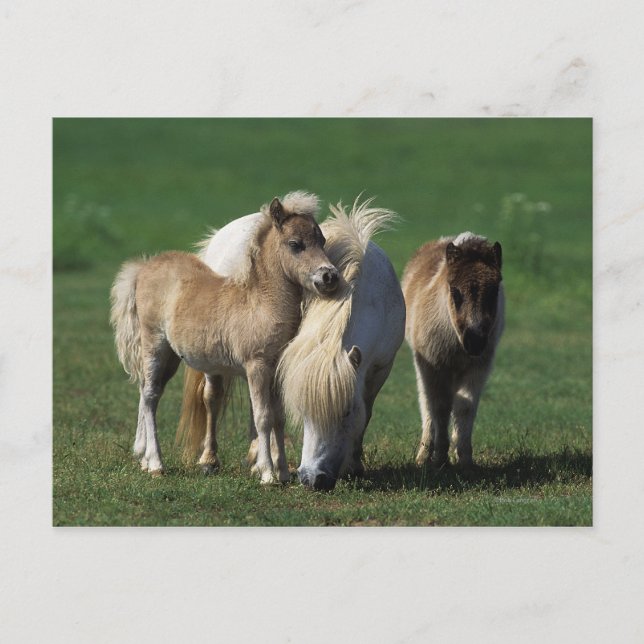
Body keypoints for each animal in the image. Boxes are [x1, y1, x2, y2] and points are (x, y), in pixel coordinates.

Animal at [109, 194, 339, 484]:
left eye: (322, 240)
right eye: (295, 244)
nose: (329, 276)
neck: (261, 304)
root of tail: (144, 268)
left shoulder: (276, 369)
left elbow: (278, 417)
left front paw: (284, 473)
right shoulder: (257, 366)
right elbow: (263, 417)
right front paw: (267, 474)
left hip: (172, 357)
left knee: (148, 391)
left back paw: (144, 459)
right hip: (154, 345)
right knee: (150, 396)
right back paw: (155, 464)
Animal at [178, 196, 405, 490]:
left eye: (346, 413)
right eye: (305, 412)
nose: (313, 478)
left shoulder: (380, 368)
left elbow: (364, 414)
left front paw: (353, 465)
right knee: (212, 398)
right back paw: (210, 460)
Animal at [401, 232, 504, 468]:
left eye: (494, 291)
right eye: (455, 292)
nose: (475, 341)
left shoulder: (478, 366)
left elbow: (465, 406)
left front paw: (464, 459)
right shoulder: (434, 365)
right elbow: (439, 407)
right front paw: (439, 457)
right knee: (427, 404)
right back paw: (424, 455)